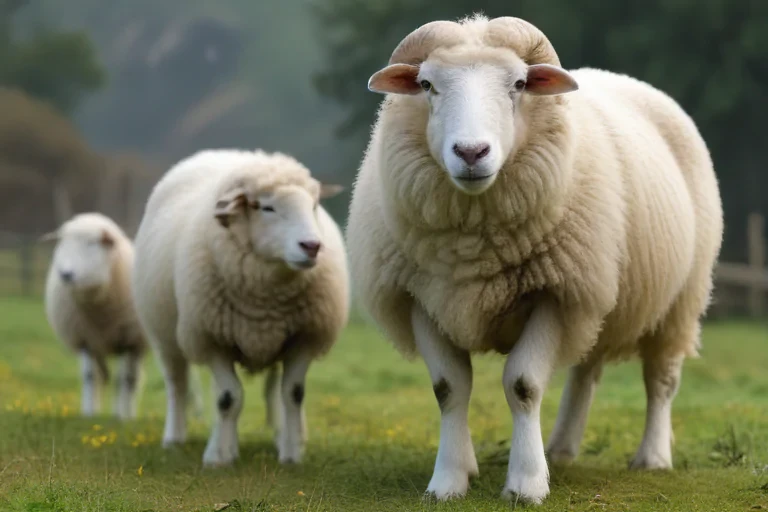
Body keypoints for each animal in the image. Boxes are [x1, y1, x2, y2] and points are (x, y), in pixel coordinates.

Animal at [42, 212, 147, 419]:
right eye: (62, 243)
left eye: (92, 243)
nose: (66, 274)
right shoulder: (85, 340)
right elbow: (89, 377)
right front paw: (89, 413)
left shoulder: (126, 340)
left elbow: (122, 380)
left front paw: (120, 417)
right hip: (99, 345)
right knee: (102, 375)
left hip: (136, 346)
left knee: (131, 379)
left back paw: (127, 413)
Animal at [131, 148, 349, 467]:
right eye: (267, 208)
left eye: (314, 205)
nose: (312, 246)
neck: (266, 296)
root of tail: (227, 154)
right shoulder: (212, 338)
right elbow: (227, 398)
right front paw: (218, 457)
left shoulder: (304, 337)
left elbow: (293, 394)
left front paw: (292, 453)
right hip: (164, 333)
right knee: (177, 384)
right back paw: (175, 437)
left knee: (274, 389)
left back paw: (281, 434)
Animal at [347, 13, 723, 504]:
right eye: (427, 85)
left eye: (520, 84)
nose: (471, 152)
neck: (473, 249)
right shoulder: (419, 300)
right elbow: (449, 389)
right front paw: (449, 480)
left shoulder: (554, 294)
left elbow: (523, 385)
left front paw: (526, 483)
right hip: (597, 293)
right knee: (586, 374)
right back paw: (561, 448)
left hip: (681, 298)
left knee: (661, 378)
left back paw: (653, 457)